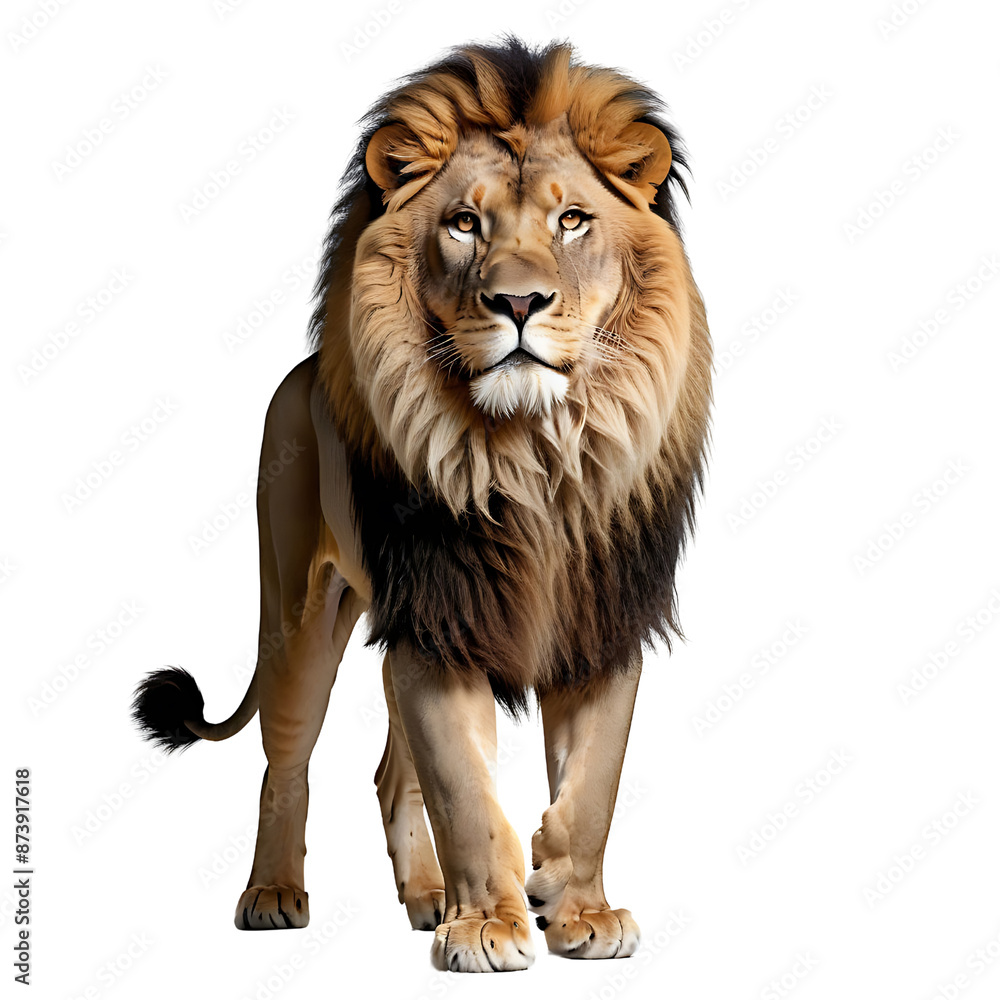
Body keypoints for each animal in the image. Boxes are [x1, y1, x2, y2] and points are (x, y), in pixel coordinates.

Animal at [132, 38, 711, 972]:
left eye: (572, 221)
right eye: (465, 224)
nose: (519, 301)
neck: (534, 455)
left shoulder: (597, 616)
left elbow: (592, 788)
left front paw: (573, 905)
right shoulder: (439, 617)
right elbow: (465, 794)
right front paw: (488, 928)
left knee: (390, 772)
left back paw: (428, 895)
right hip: (299, 614)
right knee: (285, 760)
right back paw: (274, 895)